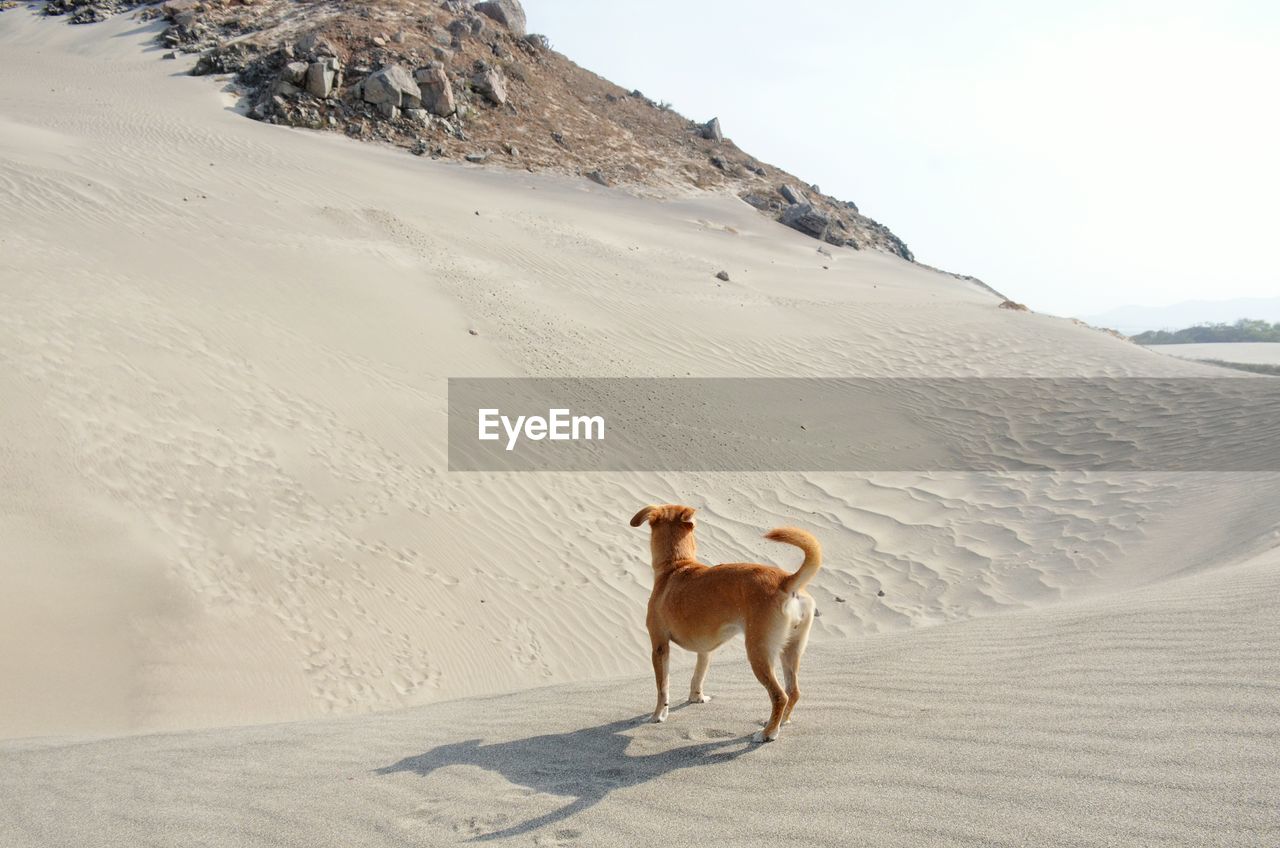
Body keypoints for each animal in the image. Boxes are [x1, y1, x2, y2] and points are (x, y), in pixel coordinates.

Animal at [627, 504, 819, 742]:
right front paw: (696, 698)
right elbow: (698, 676)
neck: (676, 565)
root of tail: (786, 581)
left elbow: (663, 687)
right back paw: (781, 721)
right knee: (793, 691)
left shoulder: (660, 645)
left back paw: (768, 732)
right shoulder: (705, 650)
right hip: (791, 650)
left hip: (759, 652)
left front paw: (658, 715)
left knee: (779, 695)